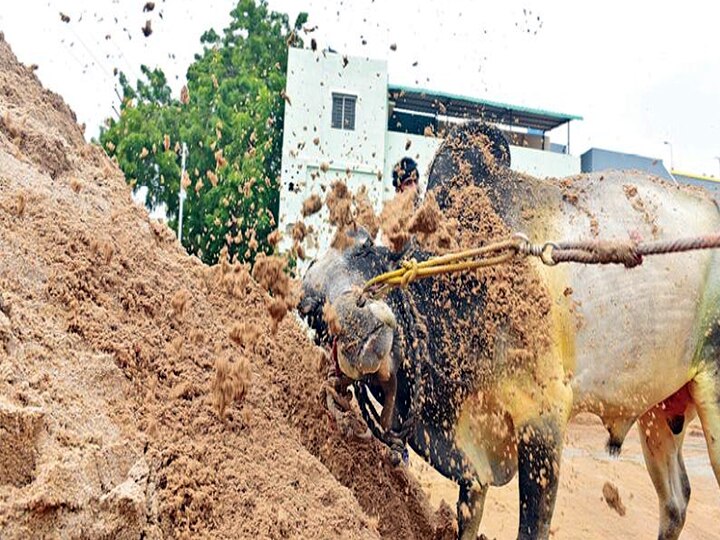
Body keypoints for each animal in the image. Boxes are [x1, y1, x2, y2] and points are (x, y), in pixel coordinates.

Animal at [296, 123, 720, 540]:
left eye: (364, 245)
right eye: (309, 312)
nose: (355, 324)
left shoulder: (543, 419)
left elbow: (531, 528)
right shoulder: (472, 466)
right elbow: (466, 519)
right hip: (659, 409)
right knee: (676, 500)